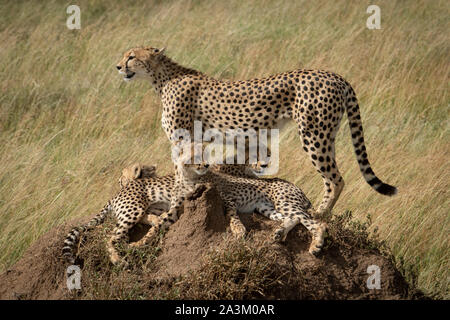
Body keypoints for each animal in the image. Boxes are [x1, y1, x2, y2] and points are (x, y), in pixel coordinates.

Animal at [115, 47, 398, 215]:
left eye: (131, 56)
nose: (118, 66)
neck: (162, 77)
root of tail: (335, 76)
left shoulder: (183, 139)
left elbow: (179, 173)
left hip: (314, 135)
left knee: (335, 179)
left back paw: (319, 214)